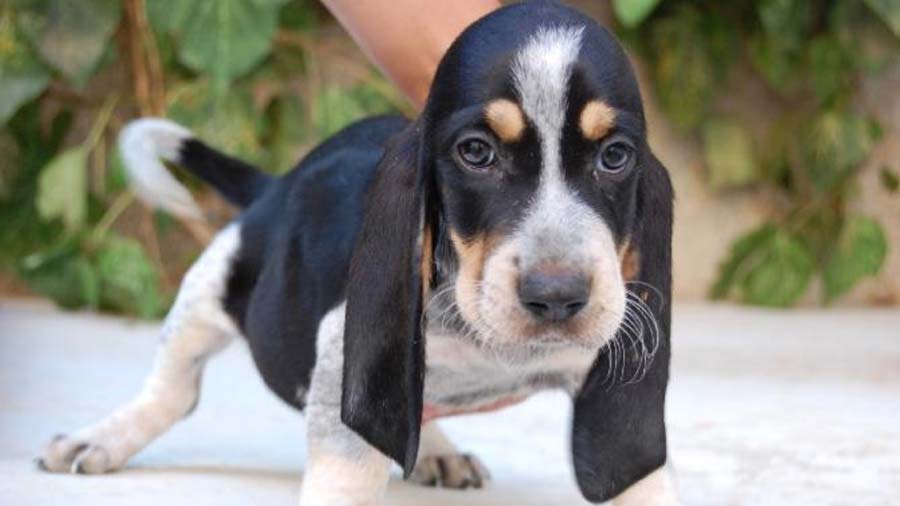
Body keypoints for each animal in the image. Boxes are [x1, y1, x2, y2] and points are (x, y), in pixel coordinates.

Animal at [38, 1, 680, 504]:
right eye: (476, 152)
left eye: (616, 157)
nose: (557, 298)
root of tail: (276, 184)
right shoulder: (341, 358)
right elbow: (349, 463)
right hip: (212, 282)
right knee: (172, 389)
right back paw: (103, 437)